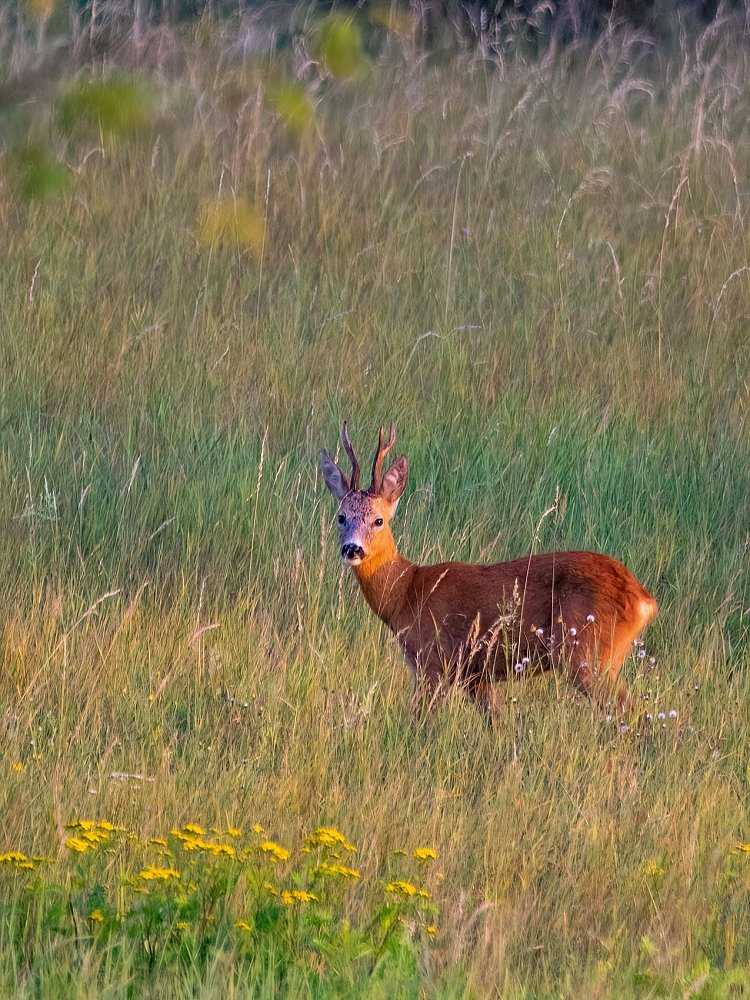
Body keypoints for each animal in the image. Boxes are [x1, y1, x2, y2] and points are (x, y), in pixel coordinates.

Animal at [320, 422, 660, 720]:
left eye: (378, 520)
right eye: (341, 517)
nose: (352, 549)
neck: (407, 592)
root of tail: (644, 599)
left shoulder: (433, 663)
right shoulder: (476, 677)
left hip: (587, 653)